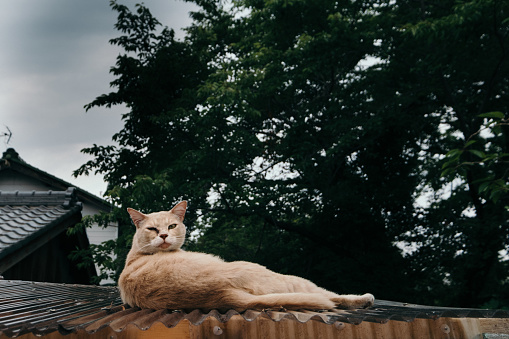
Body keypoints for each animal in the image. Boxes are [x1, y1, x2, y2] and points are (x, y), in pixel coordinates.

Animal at [118, 201, 374, 312]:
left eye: (171, 226)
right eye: (152, 229)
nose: (163, 235)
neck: (136, 254)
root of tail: (223, 294)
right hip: (286, 279)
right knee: (329, 295)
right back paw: (364, 298)